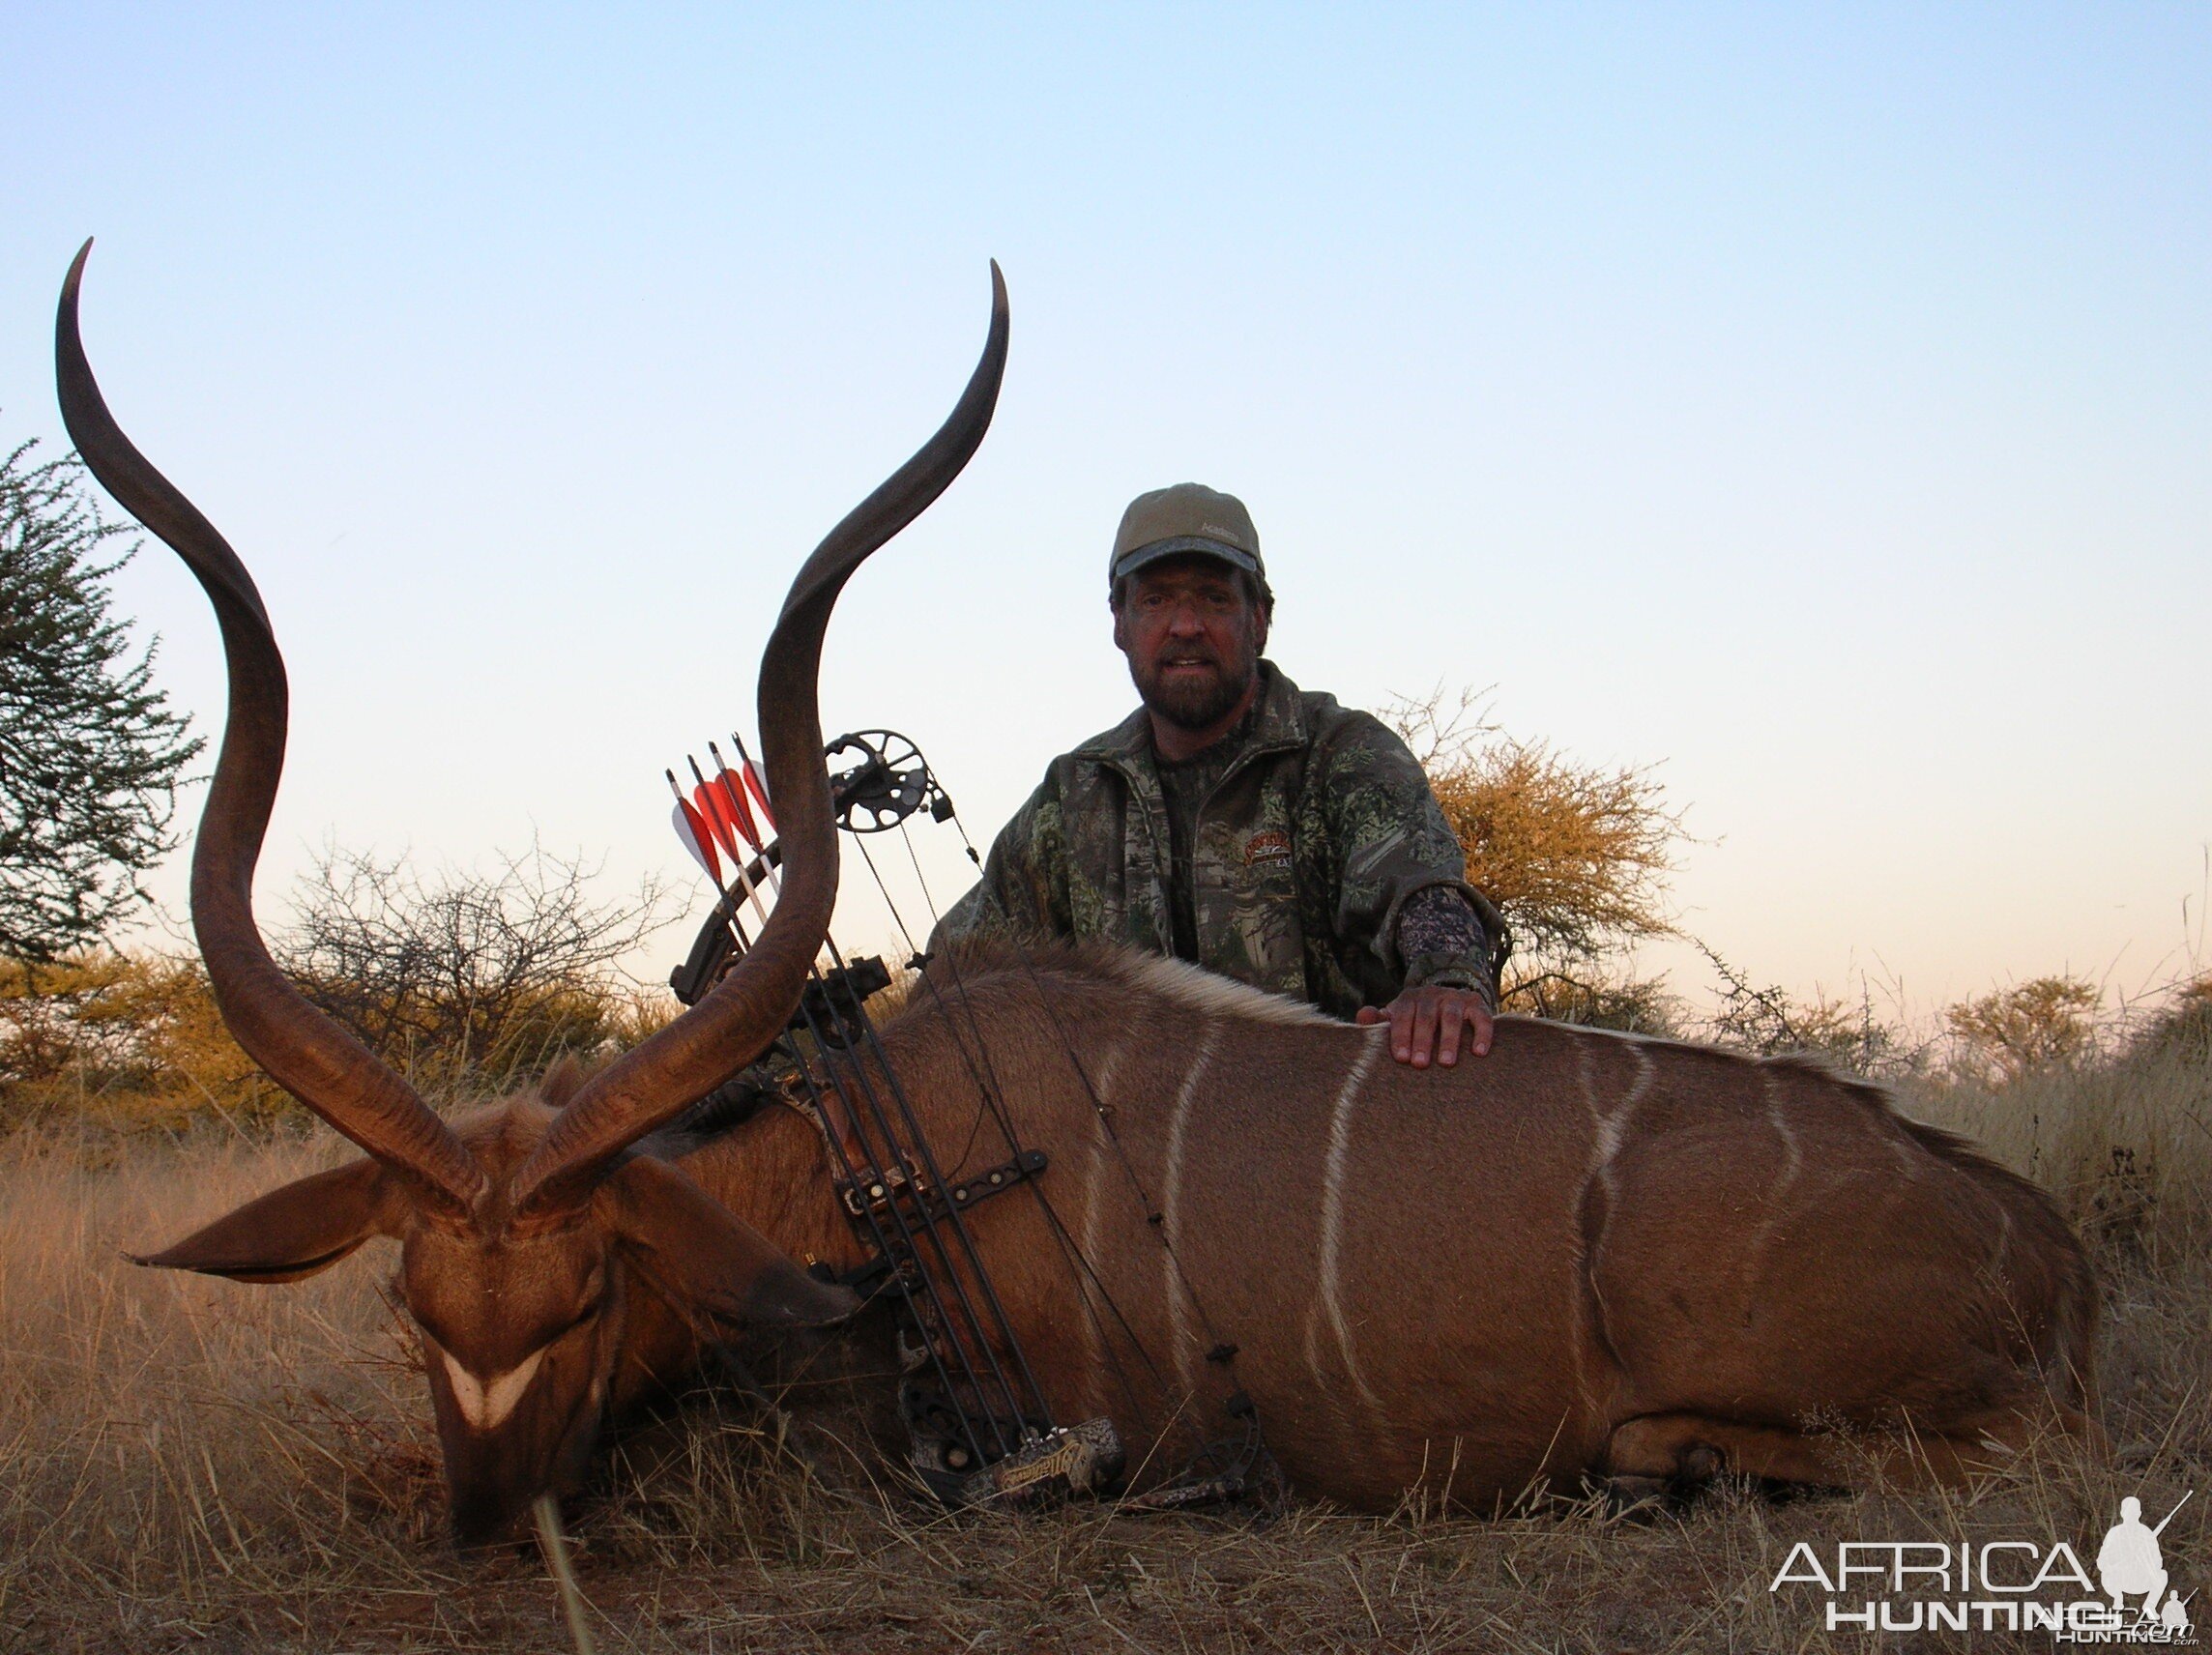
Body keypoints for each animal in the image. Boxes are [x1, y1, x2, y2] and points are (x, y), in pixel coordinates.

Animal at [69, 248, 2097, 1549]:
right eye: (418, 1304)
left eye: (583, 1297)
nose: (487, 1528)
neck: (837, 1185)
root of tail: (2040, 1250)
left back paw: (1657, 1467)